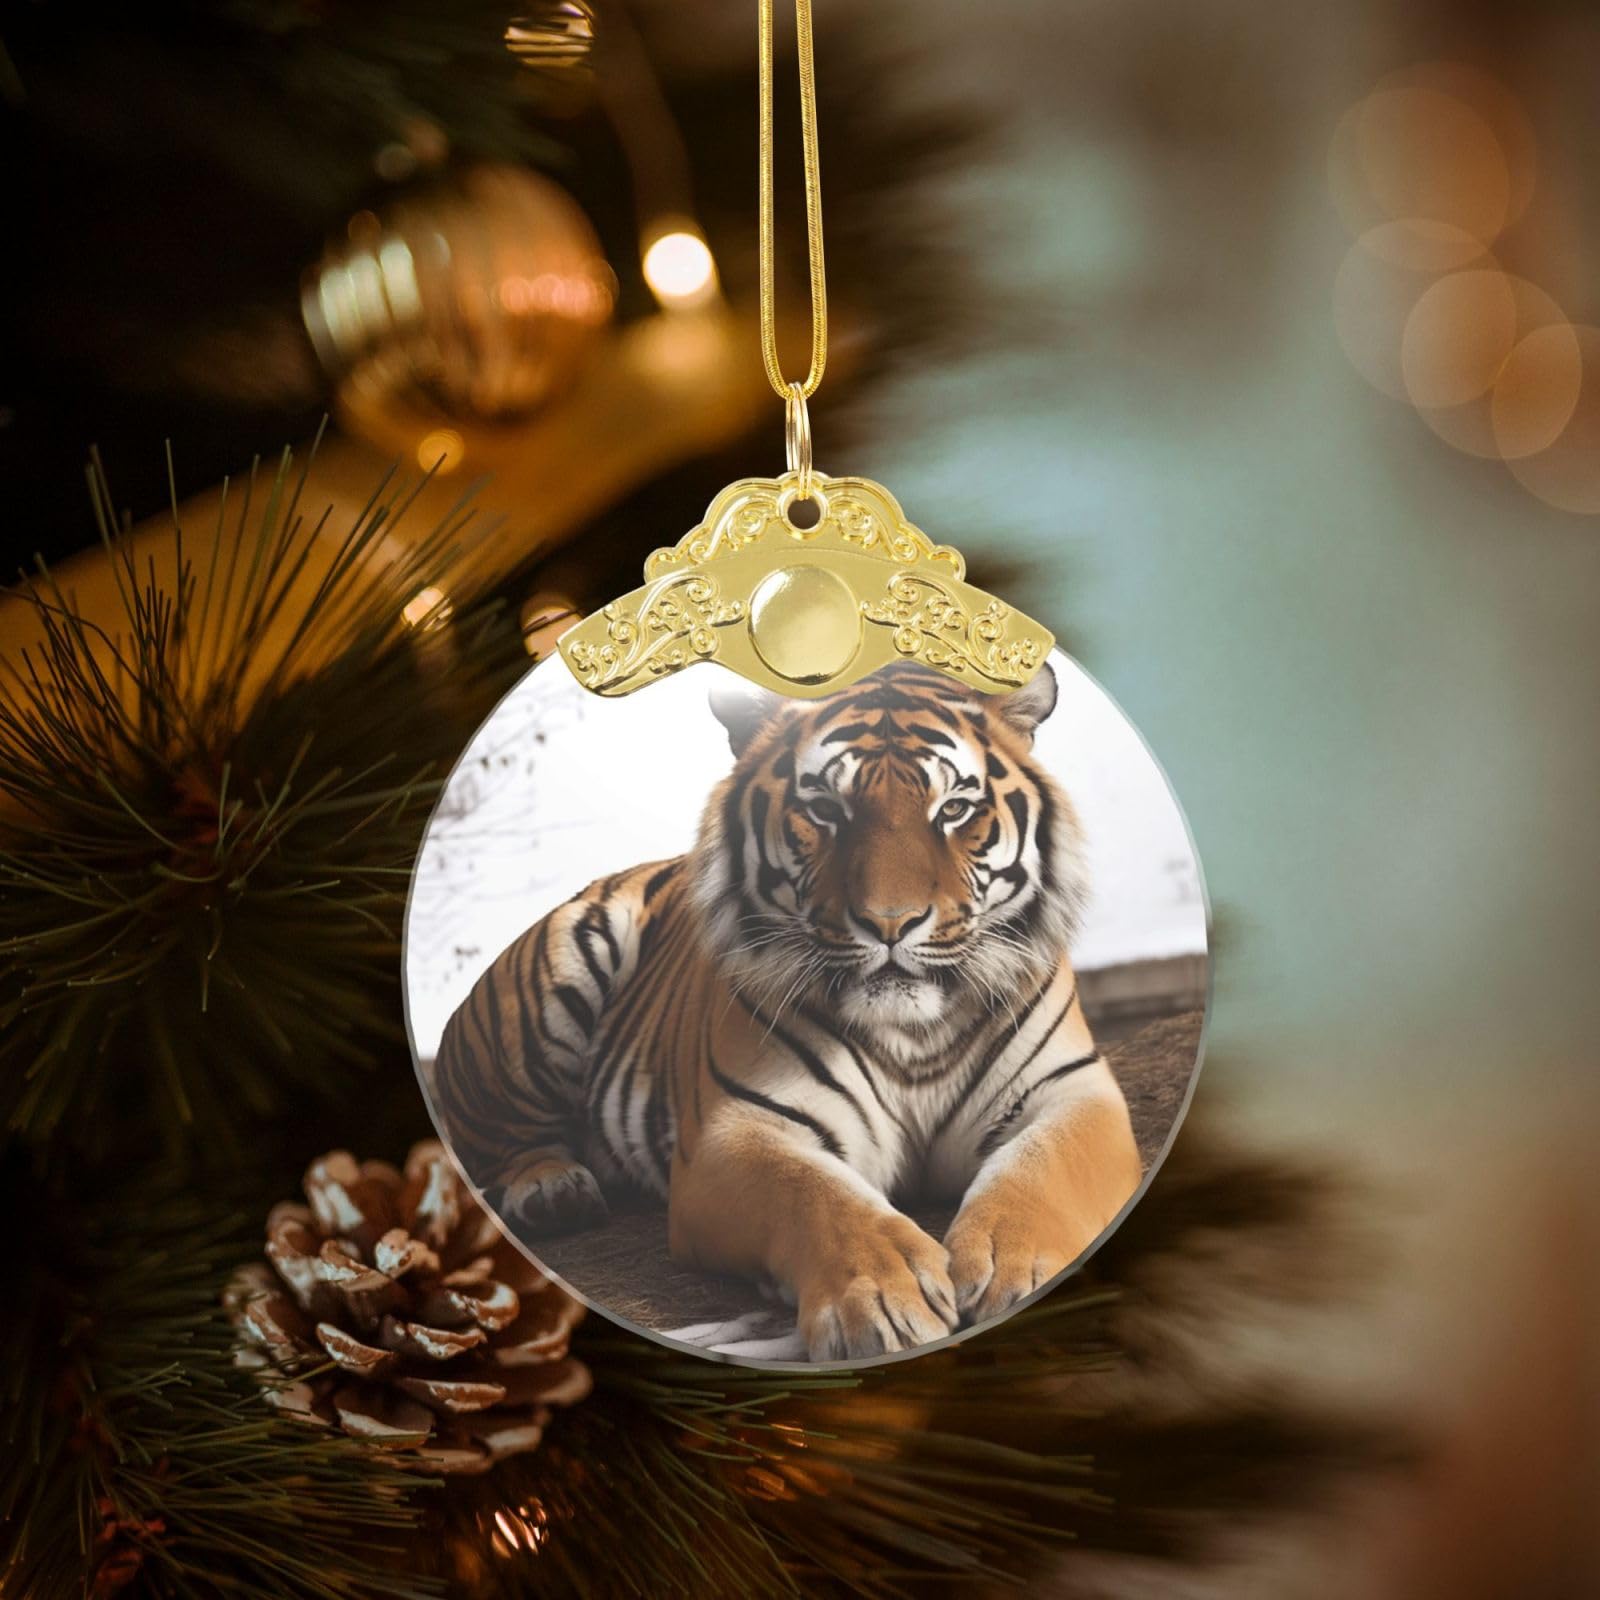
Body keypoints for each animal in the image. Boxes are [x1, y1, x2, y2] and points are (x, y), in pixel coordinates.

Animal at [430, 660, 1142, 1361]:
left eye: (955, 809)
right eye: (825, 809)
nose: (891, 923)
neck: (913, 1033)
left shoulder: (1072, 1091)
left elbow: (1043, 1168)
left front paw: (1015, 1271)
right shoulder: (737, 1130)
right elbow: (816, 1196)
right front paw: (885, 1300)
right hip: (547, 988)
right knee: (507, 1141)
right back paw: (553, 1192)